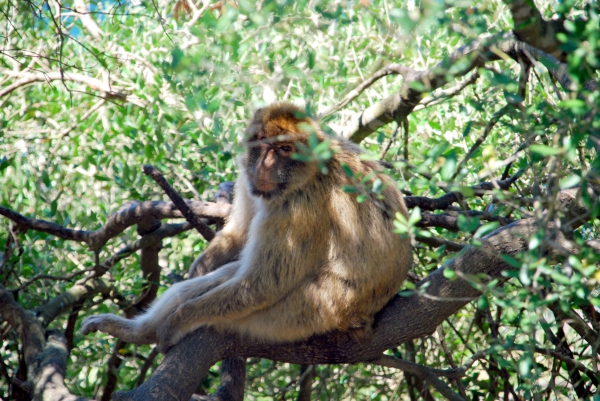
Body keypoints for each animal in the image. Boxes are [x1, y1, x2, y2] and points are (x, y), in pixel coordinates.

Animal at [82, 102, 412, 350]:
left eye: (285, 149)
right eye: (263, 144)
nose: (265, 166)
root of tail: (363, 319)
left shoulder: (297, 204)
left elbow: (264, 284)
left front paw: (177, 321)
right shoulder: (250, 177)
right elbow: (238, 234)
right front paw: (200, 267)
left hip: (305, 313)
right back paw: (137, 331)